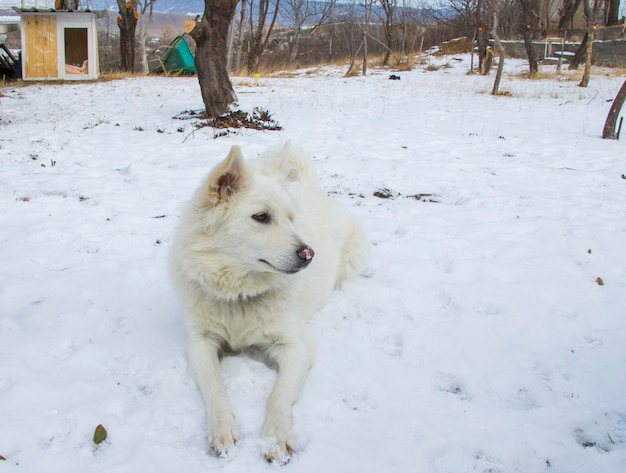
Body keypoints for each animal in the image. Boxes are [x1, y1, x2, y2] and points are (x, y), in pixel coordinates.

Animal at [168, 143, 368, 460]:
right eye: (261, 217)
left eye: (290, 219)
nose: (309, 254)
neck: (238, 295)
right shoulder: (200, 343)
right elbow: (214, 385)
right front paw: (223, 429)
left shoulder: (297, 347)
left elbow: (278, 394)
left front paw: (274, 438)